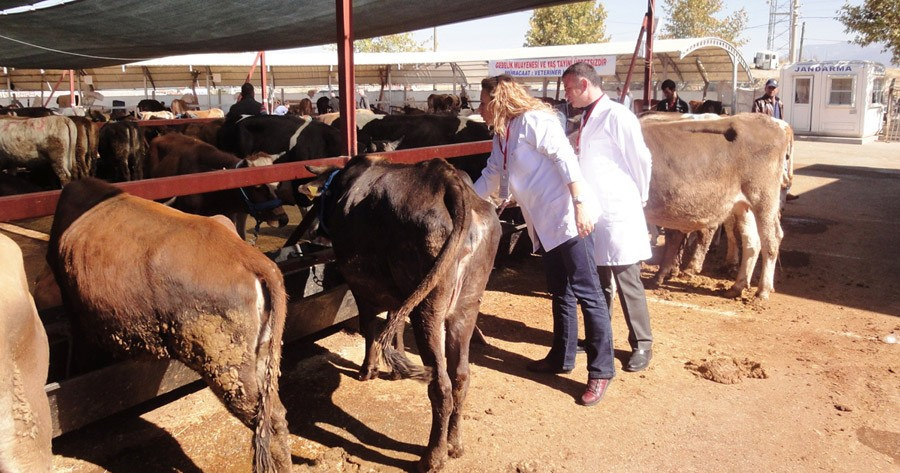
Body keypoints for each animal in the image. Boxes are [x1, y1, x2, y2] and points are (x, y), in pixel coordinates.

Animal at [46, 178, 292, 472]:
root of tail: (250, 257)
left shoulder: (78, 316)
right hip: (262, 356)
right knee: (276, 416)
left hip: (228, 367)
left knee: (265, 423)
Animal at [300, 154, 500, 468]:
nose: (310, 237)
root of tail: (449, 180)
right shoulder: (400, 295)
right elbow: (394, 324)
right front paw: (394, 369)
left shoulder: (360, 288)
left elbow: (370, 327)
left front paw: (368, 370)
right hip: (466, 306)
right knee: (460, 377)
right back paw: (455, 444)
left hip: (428, 311)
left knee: (440, 385)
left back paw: (433, 457)